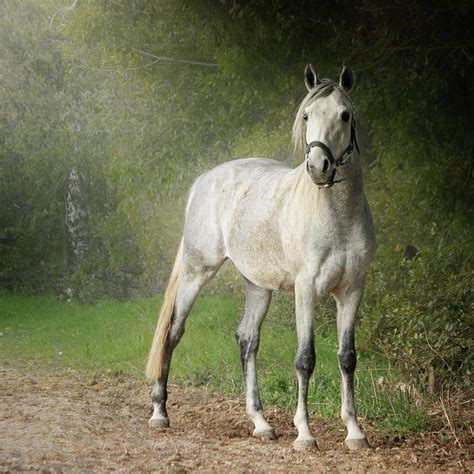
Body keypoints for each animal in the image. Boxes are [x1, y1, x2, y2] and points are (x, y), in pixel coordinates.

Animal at [146, 65, 376, 450]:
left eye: (345, 115)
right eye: (306, 115)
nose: (318, 166)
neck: (337, 217)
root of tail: (204, 180)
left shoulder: (351, 291)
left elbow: (347, 358)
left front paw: (355, 432)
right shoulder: (306, 290)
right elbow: (305, 359)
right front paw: (305, 434)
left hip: (257, 285)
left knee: (247, 340)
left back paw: (260, 422)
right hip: (196, 271)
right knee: (174, 332)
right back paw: (160, 413)